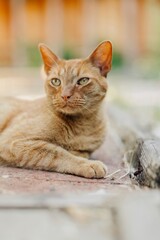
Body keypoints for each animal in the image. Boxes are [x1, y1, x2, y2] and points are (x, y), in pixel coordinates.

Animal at [0, 41, 112, 179]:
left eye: (83, 80)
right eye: (56, 81)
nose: (65, 95)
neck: (82, 125)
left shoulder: (86, 150)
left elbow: (78, 152)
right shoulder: (13, 141)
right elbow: (57, 153)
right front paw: (89, 164)